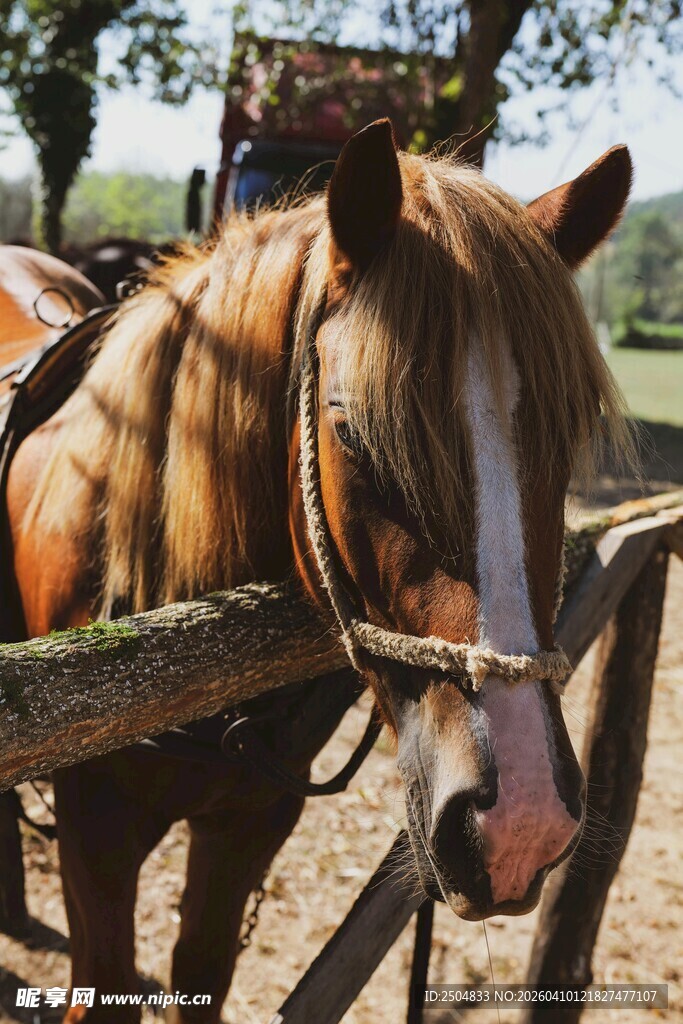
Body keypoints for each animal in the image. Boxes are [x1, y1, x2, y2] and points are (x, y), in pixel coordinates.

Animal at [2, 119, 633, 1022]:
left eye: (568, 435)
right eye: (352, 430)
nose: (521, 819)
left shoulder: (250, 826)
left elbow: (201, 971)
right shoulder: (95, 836)